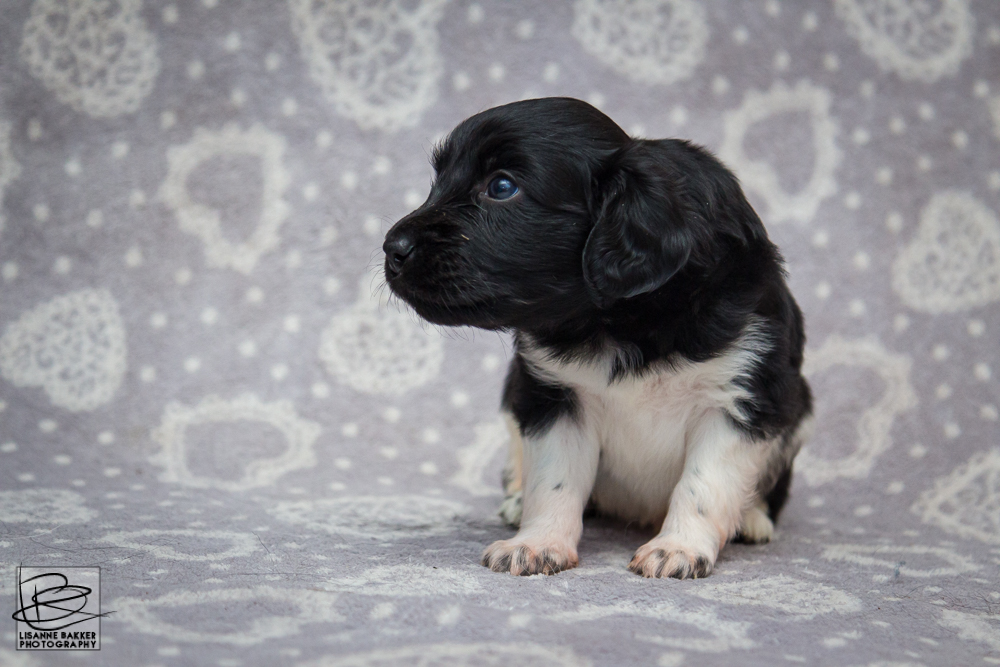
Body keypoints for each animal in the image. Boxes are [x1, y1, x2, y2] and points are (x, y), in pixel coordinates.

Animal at [383, 97, 812, 579]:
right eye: (438, 181)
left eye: (502, 186)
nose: (392, 248)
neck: (622, 320)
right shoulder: (556, 396)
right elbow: (554, 480)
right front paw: (538, 543)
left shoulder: (740, 396)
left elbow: (704, 483)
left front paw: (678, 547)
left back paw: (752, 518)